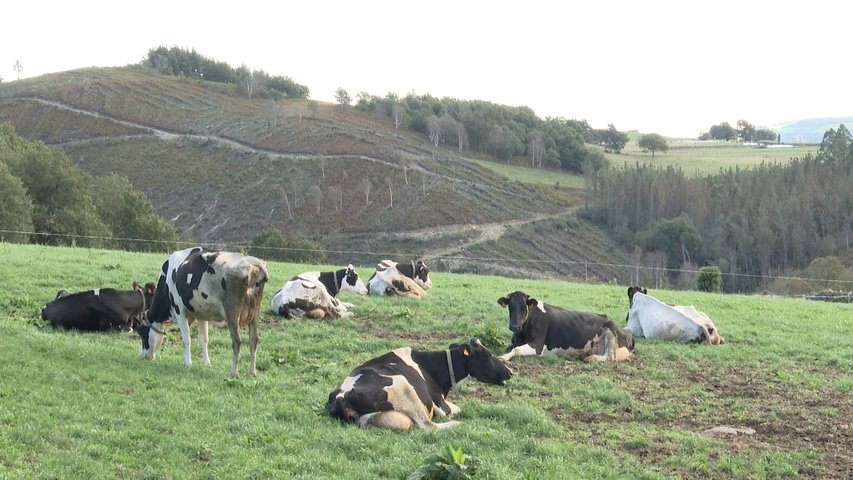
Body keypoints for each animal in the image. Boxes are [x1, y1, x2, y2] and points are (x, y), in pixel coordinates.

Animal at [137, 248, 270, 378]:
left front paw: (188, 364)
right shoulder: (201, 313)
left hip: (232, 313)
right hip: (255, 314)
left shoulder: (179, 309)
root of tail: (251, 261)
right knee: (254, 340)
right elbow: (203, 339)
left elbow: (186, 338)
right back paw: (252, 372)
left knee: (237, 341)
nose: (143, 356)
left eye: (143, 334)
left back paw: (234, 373)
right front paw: (207, 363)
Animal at [326, 338, 512, 432]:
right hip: (403, 385)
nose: (510, 372)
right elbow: (455, 409)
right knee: (428, 426)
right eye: (488, 356)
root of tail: (341, 397)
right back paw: (459, 425)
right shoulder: (440, 404)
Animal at [500, 290, 632, 362]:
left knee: (610, 356)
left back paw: (590, 358)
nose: (514, 326)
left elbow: (516, 349)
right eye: (510, 306)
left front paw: (503, 357)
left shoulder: (538, 346)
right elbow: (510, 347)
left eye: (524, 307)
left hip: (611, 332)